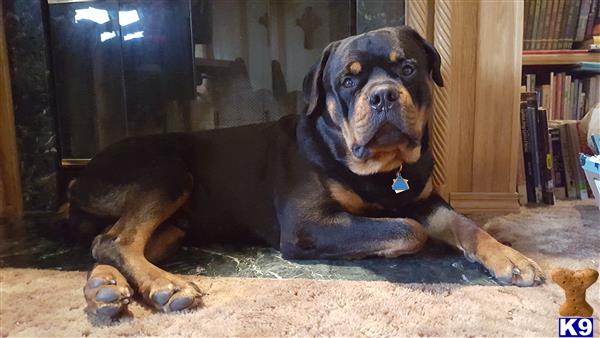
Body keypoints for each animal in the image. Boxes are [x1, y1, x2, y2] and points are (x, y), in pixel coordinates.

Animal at [65, 26, 544, 316]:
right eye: (348, 81)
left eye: (408, 68)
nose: (383, 95)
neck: (379, 169)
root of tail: (79, 173)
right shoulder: (307, 224)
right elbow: (408, 230)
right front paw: (382, 244)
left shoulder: (424, 198)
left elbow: (464, 224)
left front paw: (511, 257)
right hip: (166, 172)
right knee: (117, 239)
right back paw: (166, 286)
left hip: (175, 226)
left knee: (107, 243)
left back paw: (104, 287)